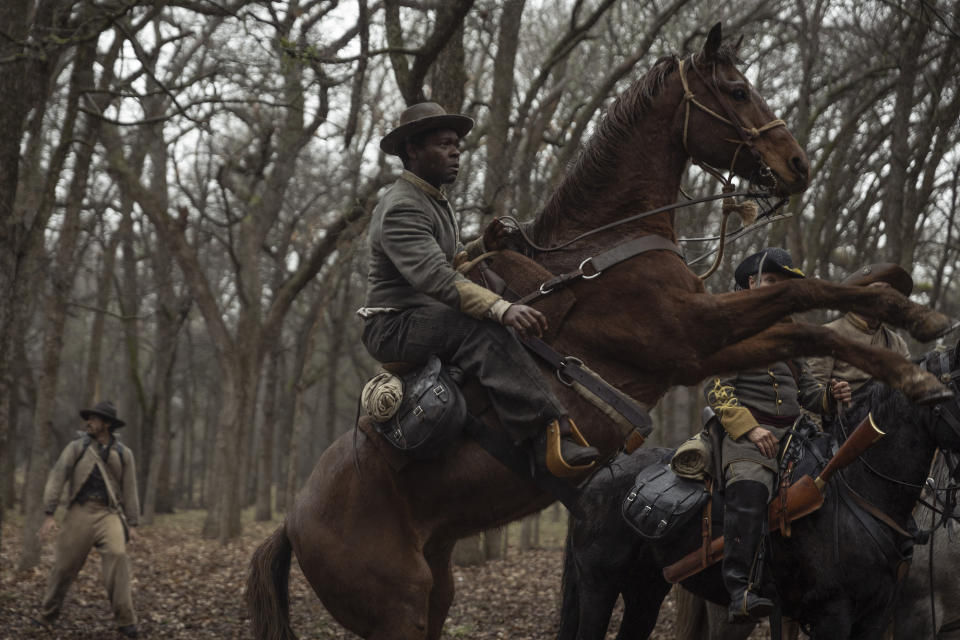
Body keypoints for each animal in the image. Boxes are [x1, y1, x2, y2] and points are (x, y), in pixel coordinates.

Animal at [560, 338, 960, 636]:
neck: (860, 490)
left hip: (646, 590)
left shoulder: (876, 617)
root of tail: (601, 474)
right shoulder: (834, 613)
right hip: (601, 587)